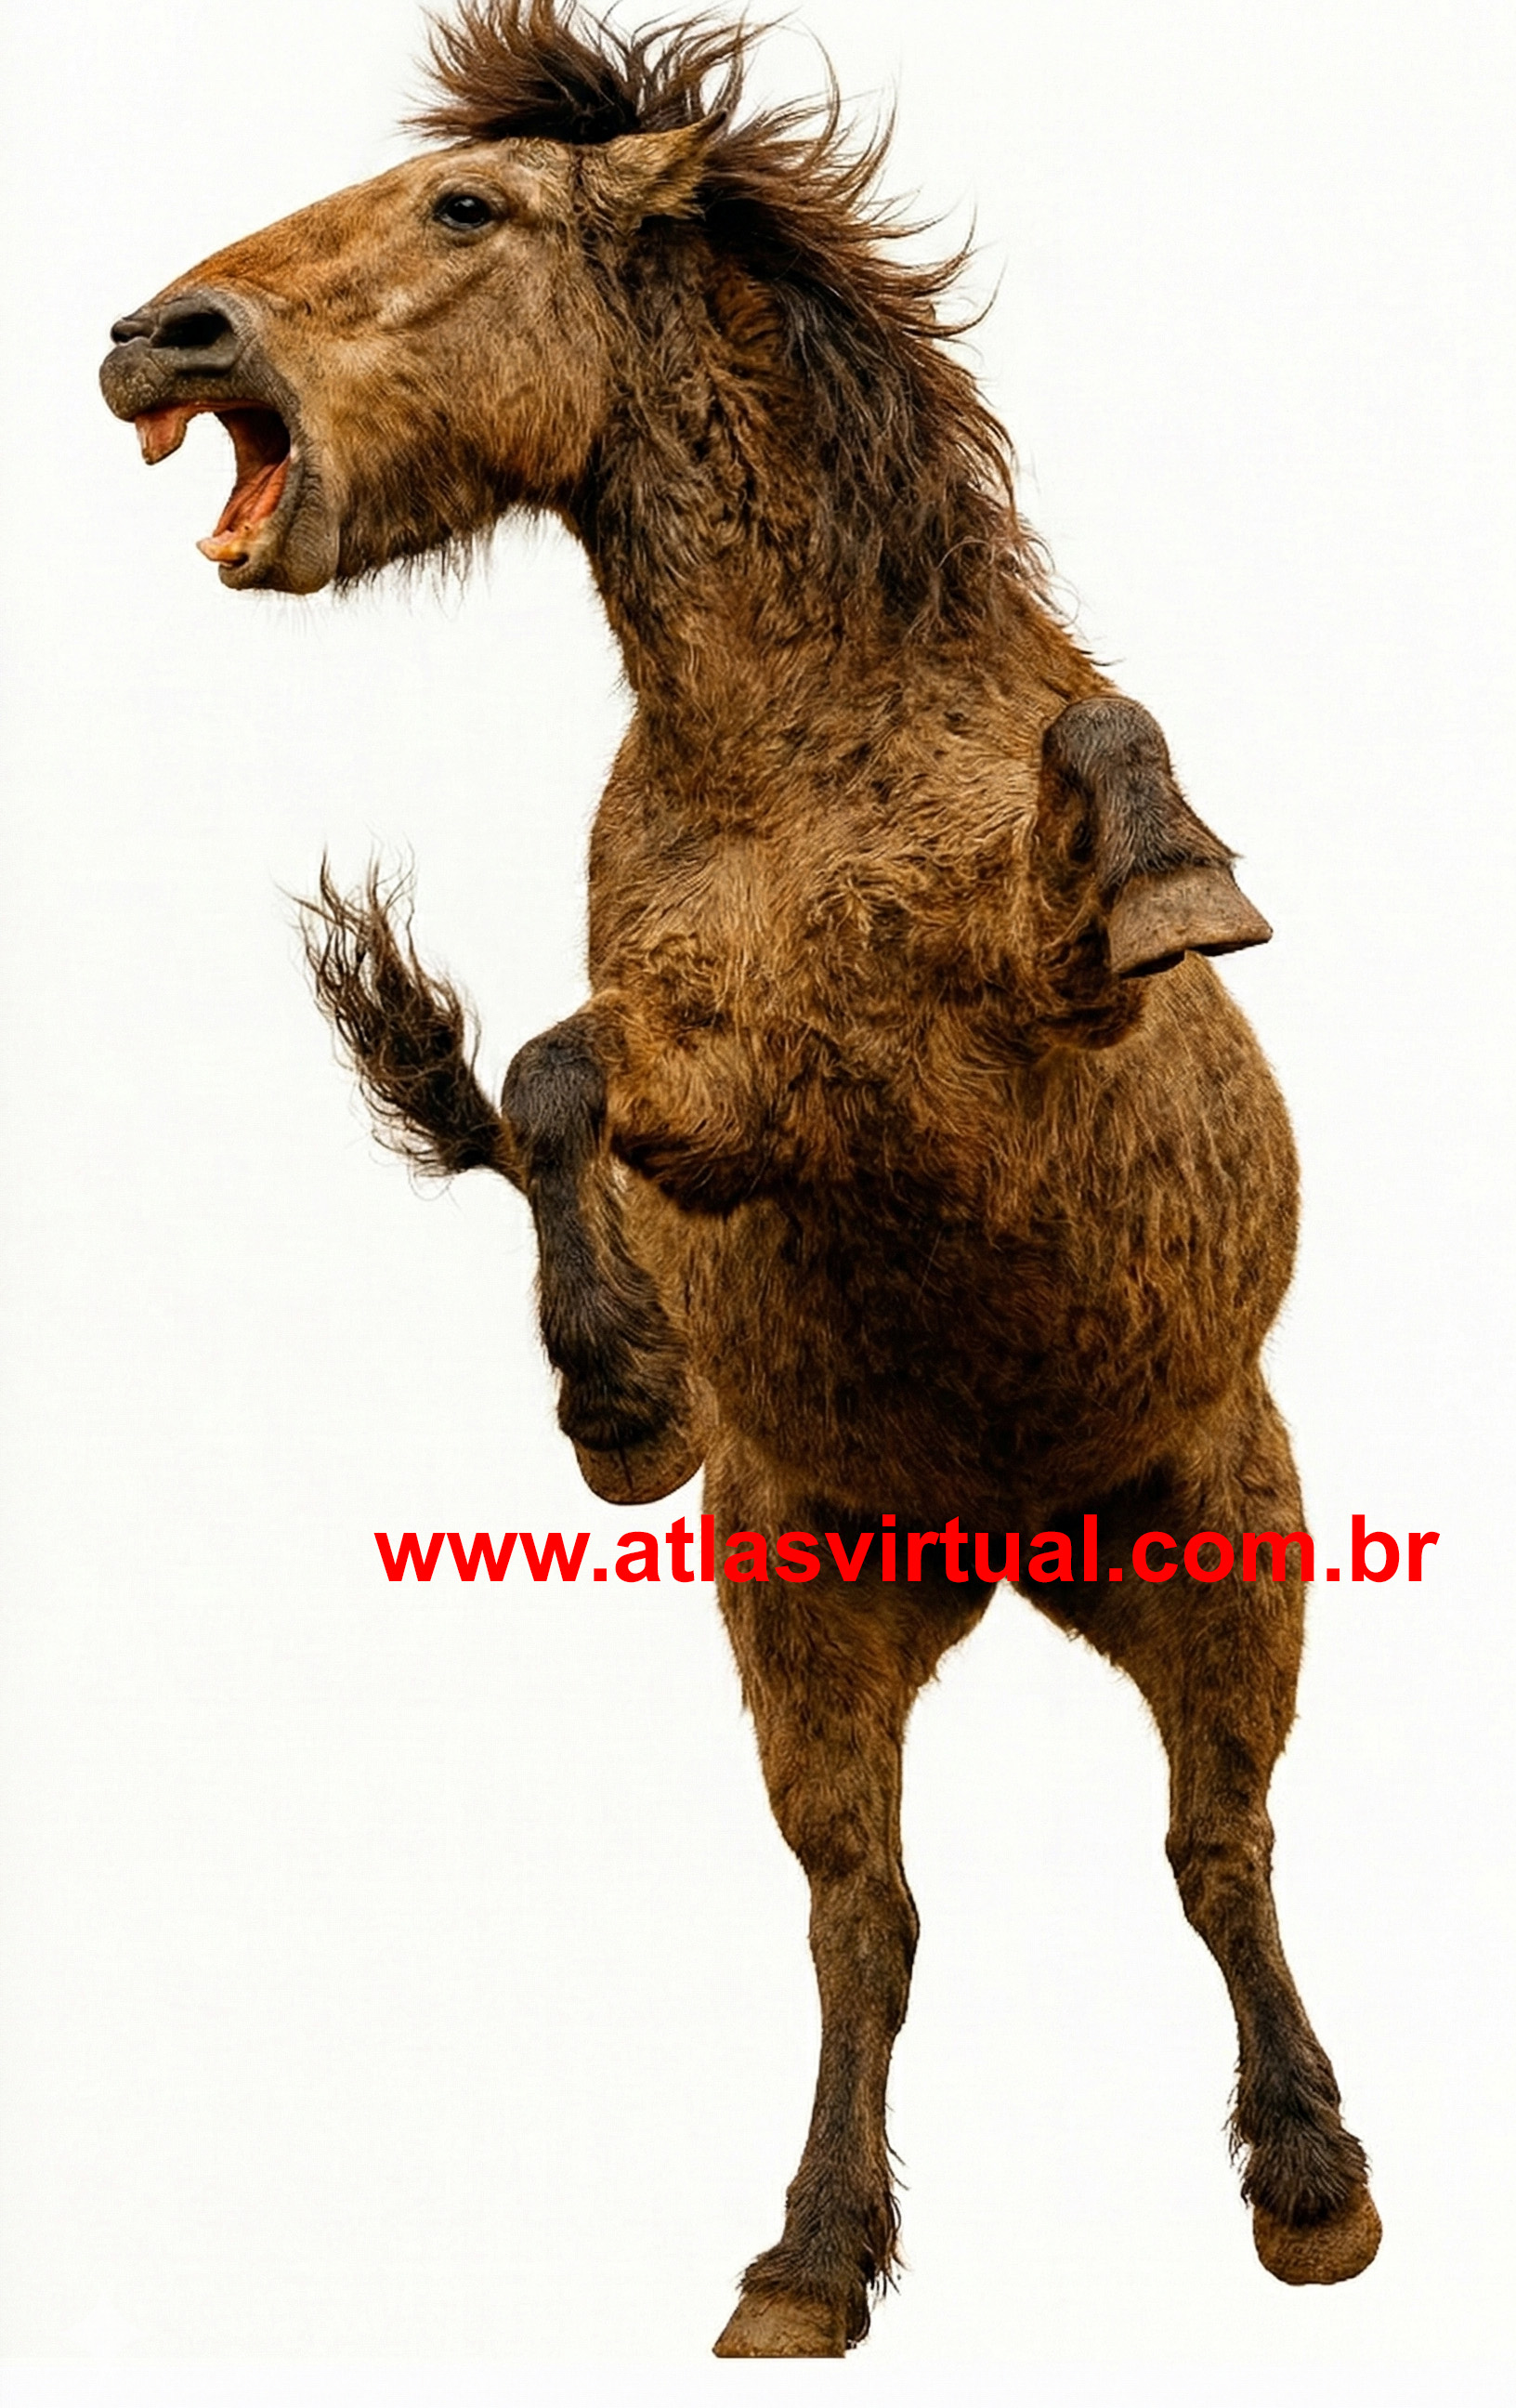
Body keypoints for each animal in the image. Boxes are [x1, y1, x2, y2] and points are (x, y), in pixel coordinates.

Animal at [99, 0, 1380, 2355]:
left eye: (464, 206)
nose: (154, 337)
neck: (795, 758)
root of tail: (1010, 1551)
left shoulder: (1014, 1060)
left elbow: (1105, 779)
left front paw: (1191, 883)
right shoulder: (758, 1104)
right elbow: (548, 1081)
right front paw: (616, 1399)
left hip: (1228, 1542)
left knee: (1218, 1854)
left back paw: (1316, 2189)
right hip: (808, 1605)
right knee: (865, 1908)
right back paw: (805, 2262)